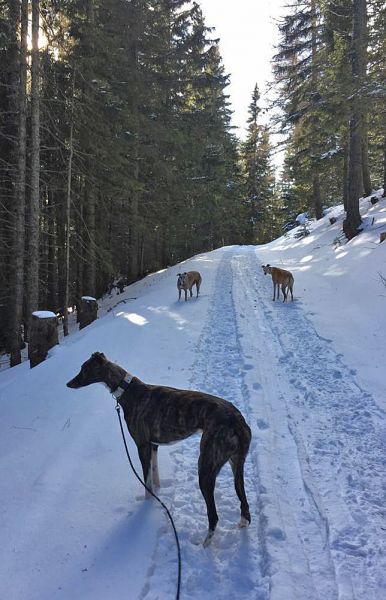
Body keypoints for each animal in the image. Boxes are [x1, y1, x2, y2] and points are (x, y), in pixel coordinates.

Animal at [68, 352, 252, 548]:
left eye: (85, 369)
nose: (68, 384)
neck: (128, 390)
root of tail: (238, 422)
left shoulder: (142, 445)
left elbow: (146, 482)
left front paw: (146, 507)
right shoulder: (153, 445)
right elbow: (154, 474)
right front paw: (158, 493)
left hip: (206, 467)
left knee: (214, 515)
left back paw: (205, 545)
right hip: (236, 464)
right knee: (244, 505)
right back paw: (241, 526)